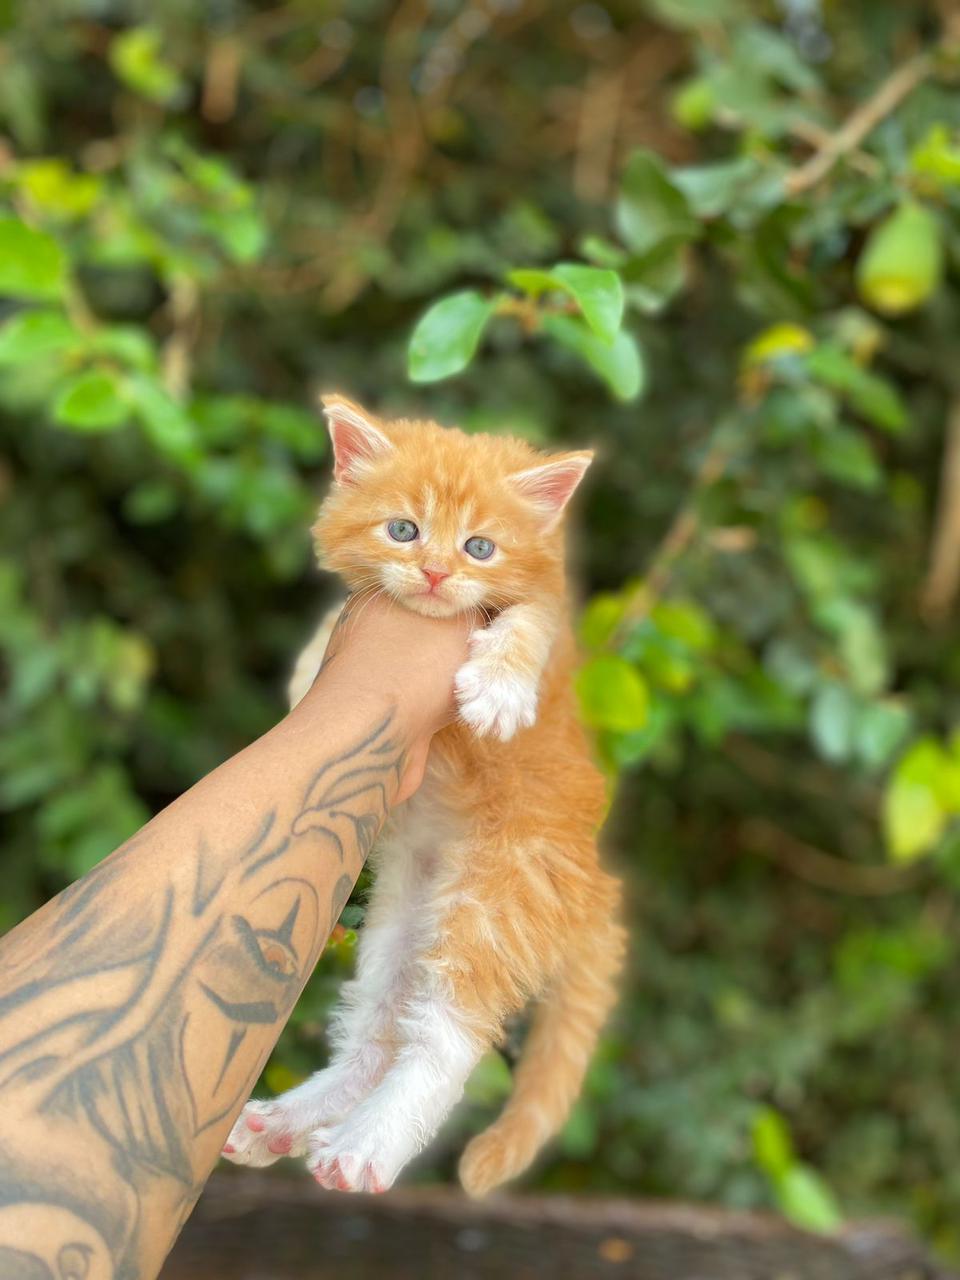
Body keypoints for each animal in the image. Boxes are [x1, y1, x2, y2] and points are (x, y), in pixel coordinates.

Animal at [226, 394, 632, 1192]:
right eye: (404, 530)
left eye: (480, 547)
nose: (439, 574)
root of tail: (594, 876)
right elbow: (337, 618)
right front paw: (310, 671)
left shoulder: (550, 612)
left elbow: (529, 620)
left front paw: (500, 690)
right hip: (407, 913)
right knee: (379, 1033)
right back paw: (287, 1123)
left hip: (499, 904)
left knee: (446, 1043)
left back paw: (364, 1149)